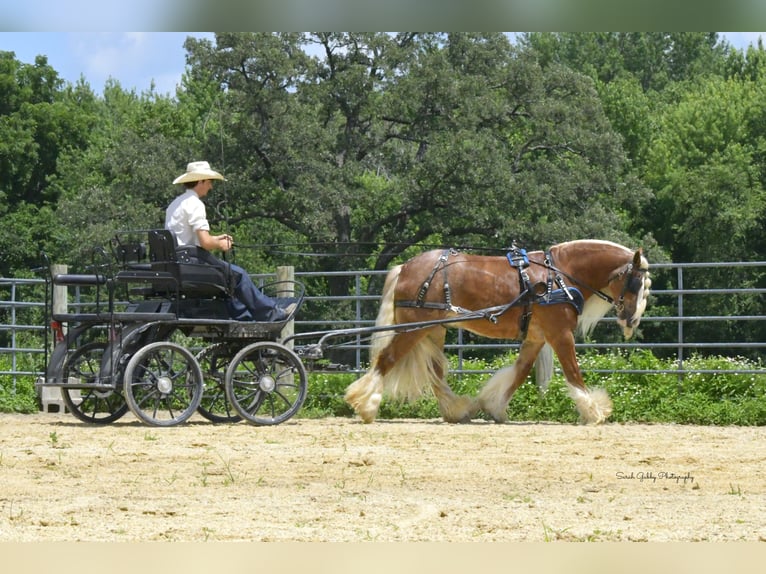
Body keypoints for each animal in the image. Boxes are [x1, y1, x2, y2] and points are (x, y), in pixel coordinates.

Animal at [344, 239, 651, 425]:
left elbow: (519, 372)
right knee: (387, 360)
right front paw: (593, 410)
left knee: (435, 373)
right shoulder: (560, 334)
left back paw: (457, 410)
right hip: (413, 328)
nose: (632, 320)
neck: (559, 276)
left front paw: (495, 406)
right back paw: (366, 405)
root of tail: (405, 267)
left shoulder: (536, 337)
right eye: (636, 283)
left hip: (432, 330)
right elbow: (573, 372)